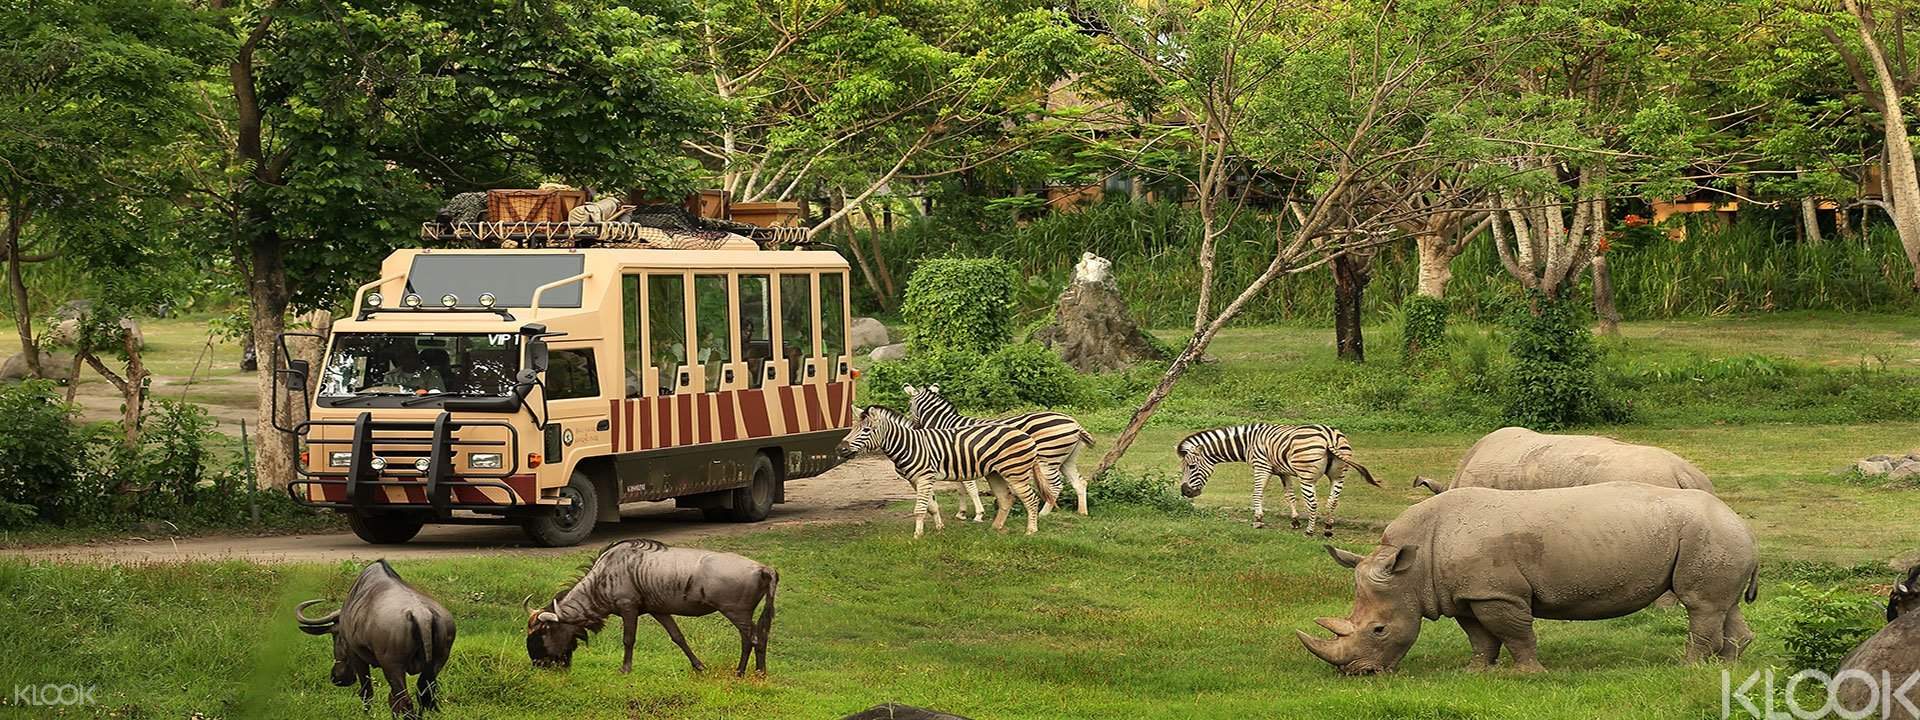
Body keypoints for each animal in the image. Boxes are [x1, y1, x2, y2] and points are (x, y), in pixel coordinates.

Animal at [1297, 482, 1756, 674]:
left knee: (1700, 605)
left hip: (1708, 532)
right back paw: (1724, 668)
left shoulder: (1497, 593)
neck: (1412, 565)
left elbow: (1515, 633)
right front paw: (1476, 673)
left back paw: (1686, 668)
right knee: (1723, 606)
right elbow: (1479, 637)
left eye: (1378, 629)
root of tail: (1744, 524)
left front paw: (1529, 674)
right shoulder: (1465, 594)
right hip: (1719, 536)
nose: (1359, 674)